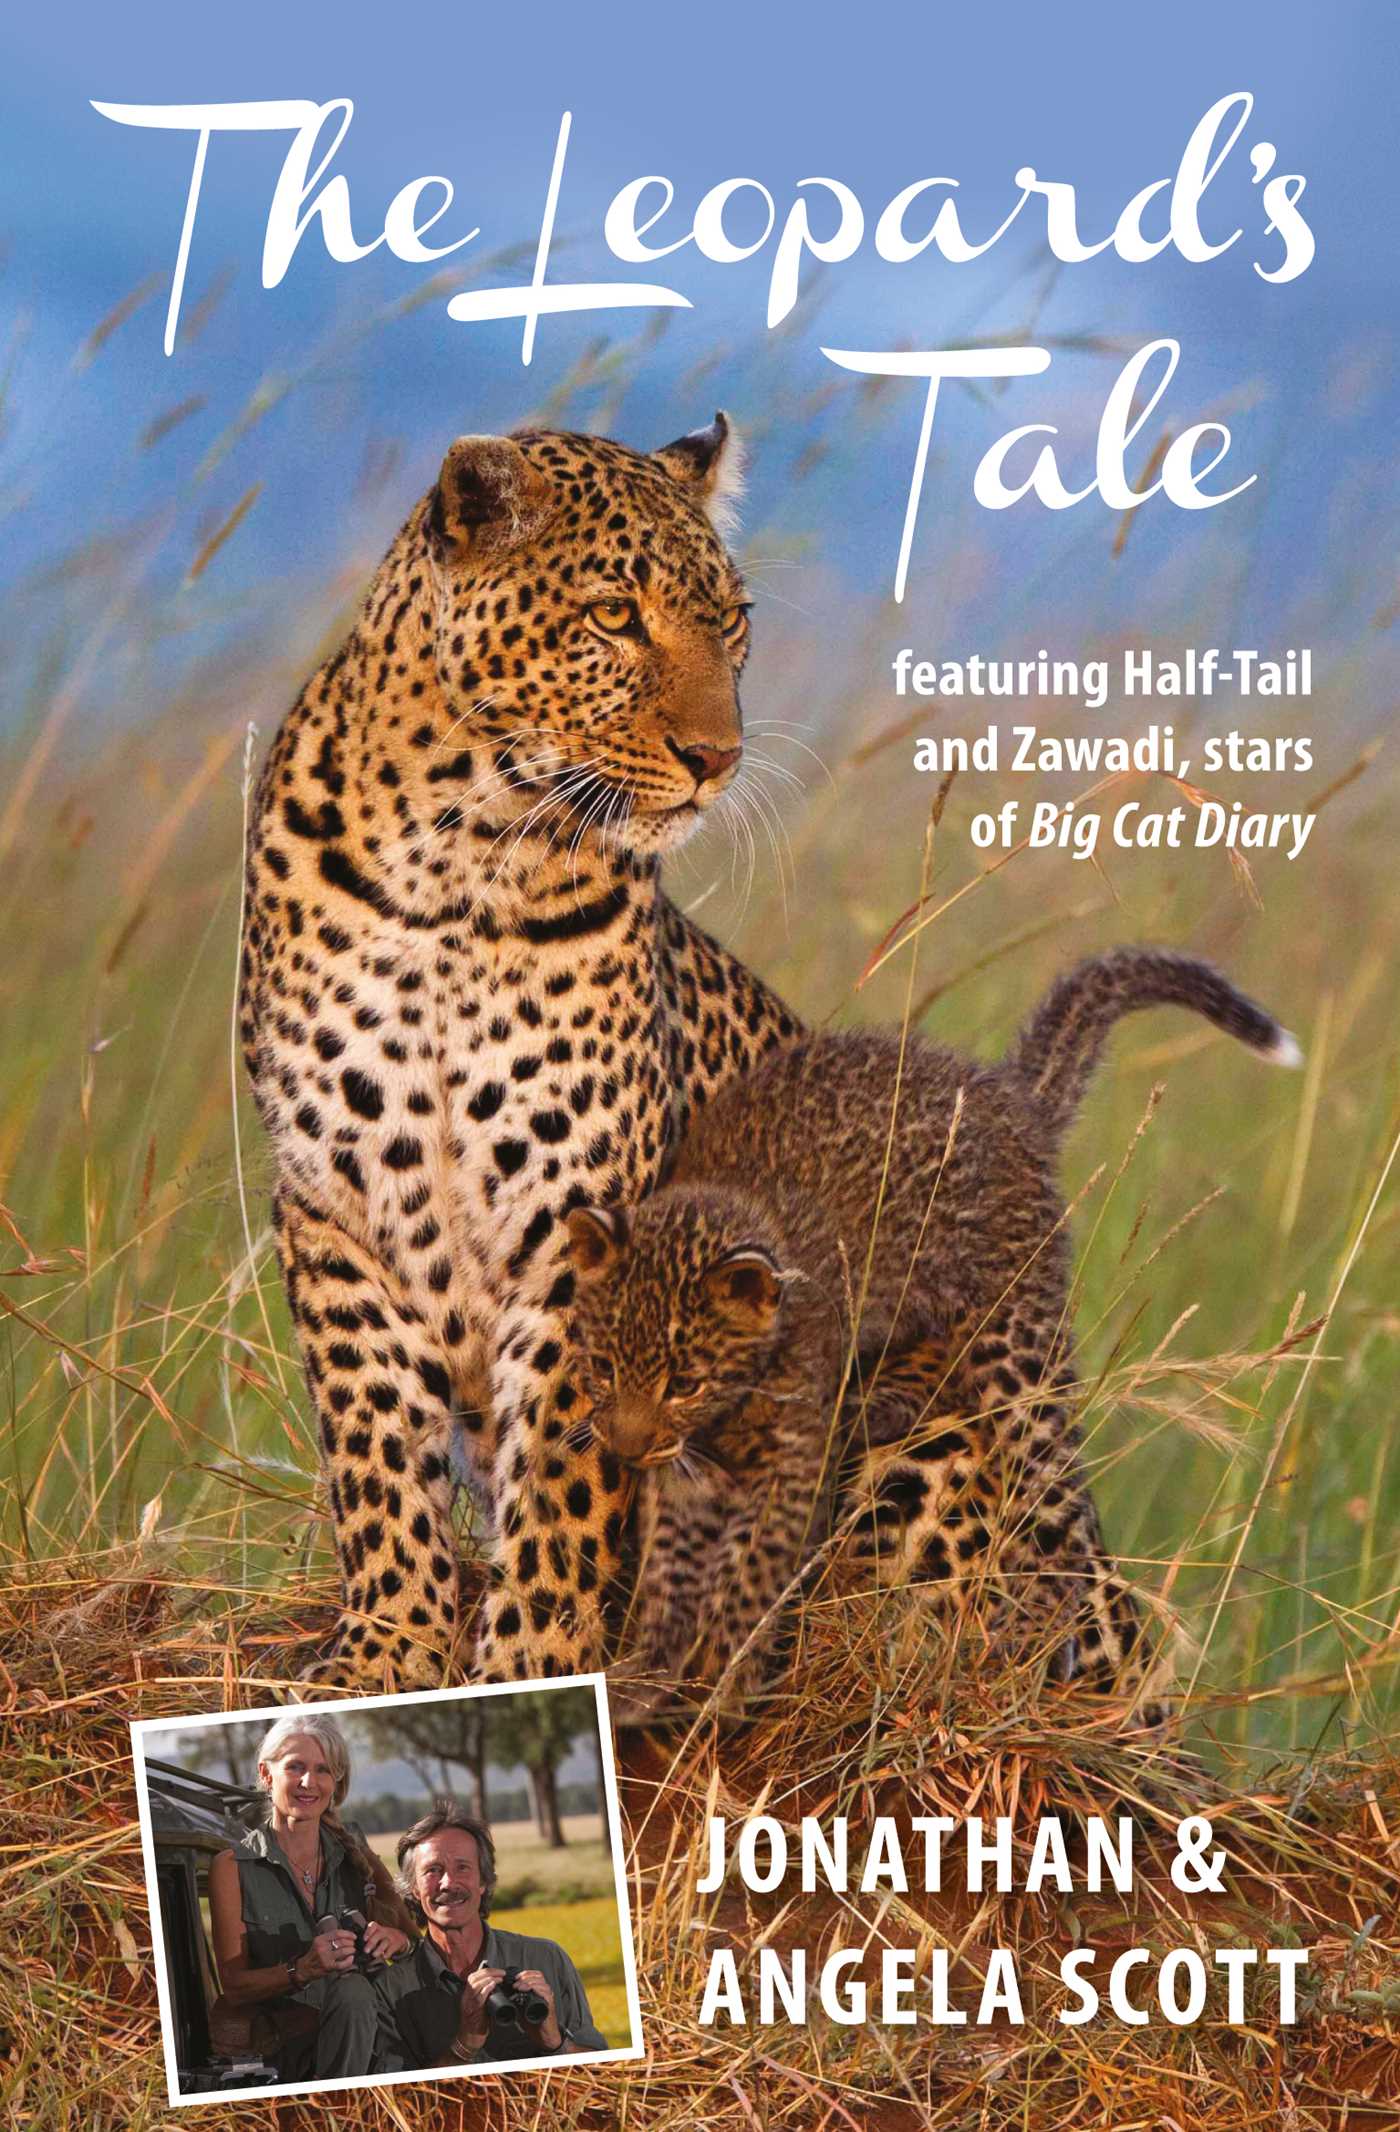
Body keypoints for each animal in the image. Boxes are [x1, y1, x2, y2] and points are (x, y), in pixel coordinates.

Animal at [239, 414, 801, 1689]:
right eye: (613, 614)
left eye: (731, 620)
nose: (715, 756)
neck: (460, 850)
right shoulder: (330, 1201)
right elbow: (371, 1441)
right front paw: (386, 1650)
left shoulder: (577, 1218)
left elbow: (563, 1468)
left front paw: (535, 1662)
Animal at [563, 949, 1299, 1724]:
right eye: (603, 1369)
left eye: (686, 1383)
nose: (624, 1446)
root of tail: (1005, 1091)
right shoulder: (685, 1480)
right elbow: (668, 1577)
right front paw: (645, 1675)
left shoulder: (791, 1469)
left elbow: (758, 1573)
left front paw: (727, 1678)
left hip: (1017, 1340)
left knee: (1056, 1493)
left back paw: (1038, 1630)